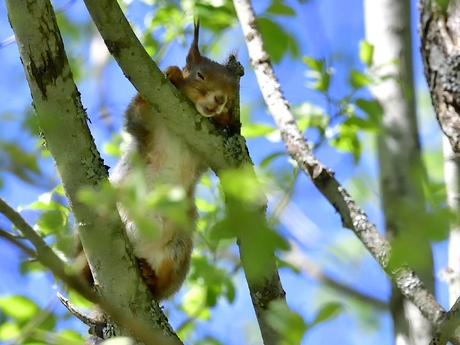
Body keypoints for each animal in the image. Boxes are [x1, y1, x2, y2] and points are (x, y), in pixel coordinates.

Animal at [83, 22, 239, 300]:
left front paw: (224, 118)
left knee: (162, 287)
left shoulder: (206, 153)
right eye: (200, 75)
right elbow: (136, 109)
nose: (221, 100)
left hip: (178, 250)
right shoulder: (146, 126)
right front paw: (173, 74)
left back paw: (151, 277)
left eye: (233, 95)